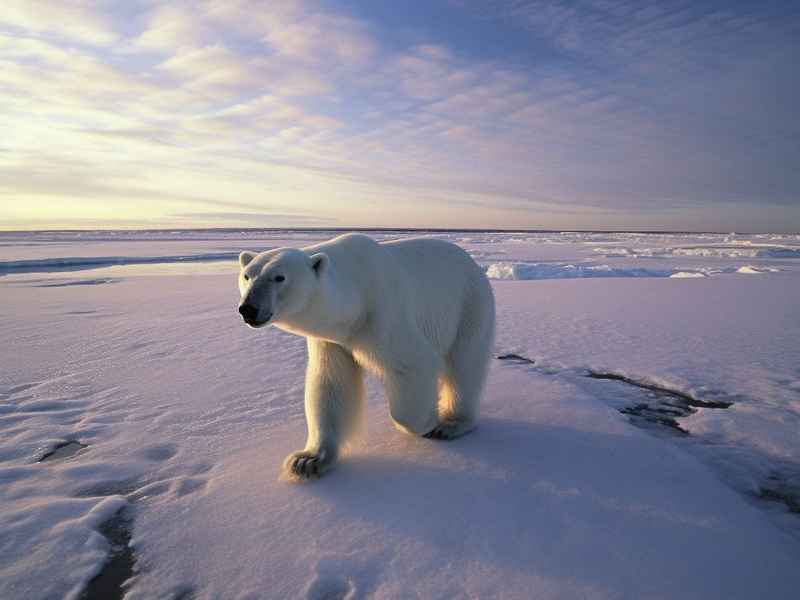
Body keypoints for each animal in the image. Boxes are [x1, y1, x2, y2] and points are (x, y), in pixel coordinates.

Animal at [237, 233, 495, 479]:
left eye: (279, 277)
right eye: (247, 276)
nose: (248, 308)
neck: (356, 298)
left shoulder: (384, 316)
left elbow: (412, 364)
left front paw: (429, 422)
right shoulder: (333, 340)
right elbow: (331, 384)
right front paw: (308, 460)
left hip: (469, 306)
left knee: (464, 366)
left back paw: (452, 424)